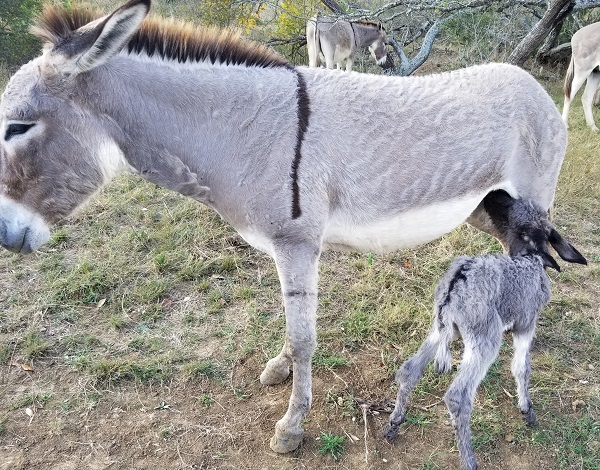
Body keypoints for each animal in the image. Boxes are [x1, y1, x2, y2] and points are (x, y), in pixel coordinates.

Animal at [0, 0, 569, 454]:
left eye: (17, 127)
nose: (5, 238)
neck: (240, 132)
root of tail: (533, 84)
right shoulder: (286, 251)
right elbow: (291, 326)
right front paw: (279, 370)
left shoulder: (297, 244)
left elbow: (304, 339)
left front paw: (291, 426)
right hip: (491, 209)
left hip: (530, 204)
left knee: (538, 264)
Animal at [384, 191, 587, 470]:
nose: (494, 196)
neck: (530, 256)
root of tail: (454, 286)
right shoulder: (527, 323)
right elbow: (521, 367)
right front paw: (527, 410)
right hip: (485, 339)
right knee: (458, 397)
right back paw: (468, 459)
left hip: (439, 329)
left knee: (408, 371)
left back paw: (394, 423)